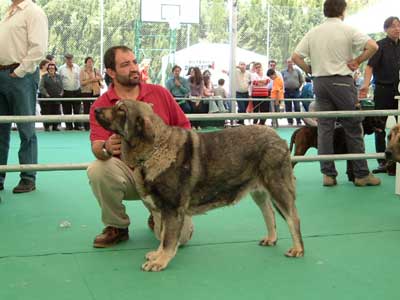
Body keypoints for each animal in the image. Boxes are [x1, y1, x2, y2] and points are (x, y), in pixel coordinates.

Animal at [94, 100, 304, 272]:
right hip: (259, 192)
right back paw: (271, 238)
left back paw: (297, 249)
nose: (95, 110)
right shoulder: (165, 211)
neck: (154, 149)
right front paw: (157, 255)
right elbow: (163, 235)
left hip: (278, 187)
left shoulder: (172, 209)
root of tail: (278, 138)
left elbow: (168, 239)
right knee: (269, 213)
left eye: (120, 109)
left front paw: (160, 261)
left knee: (293, 218)